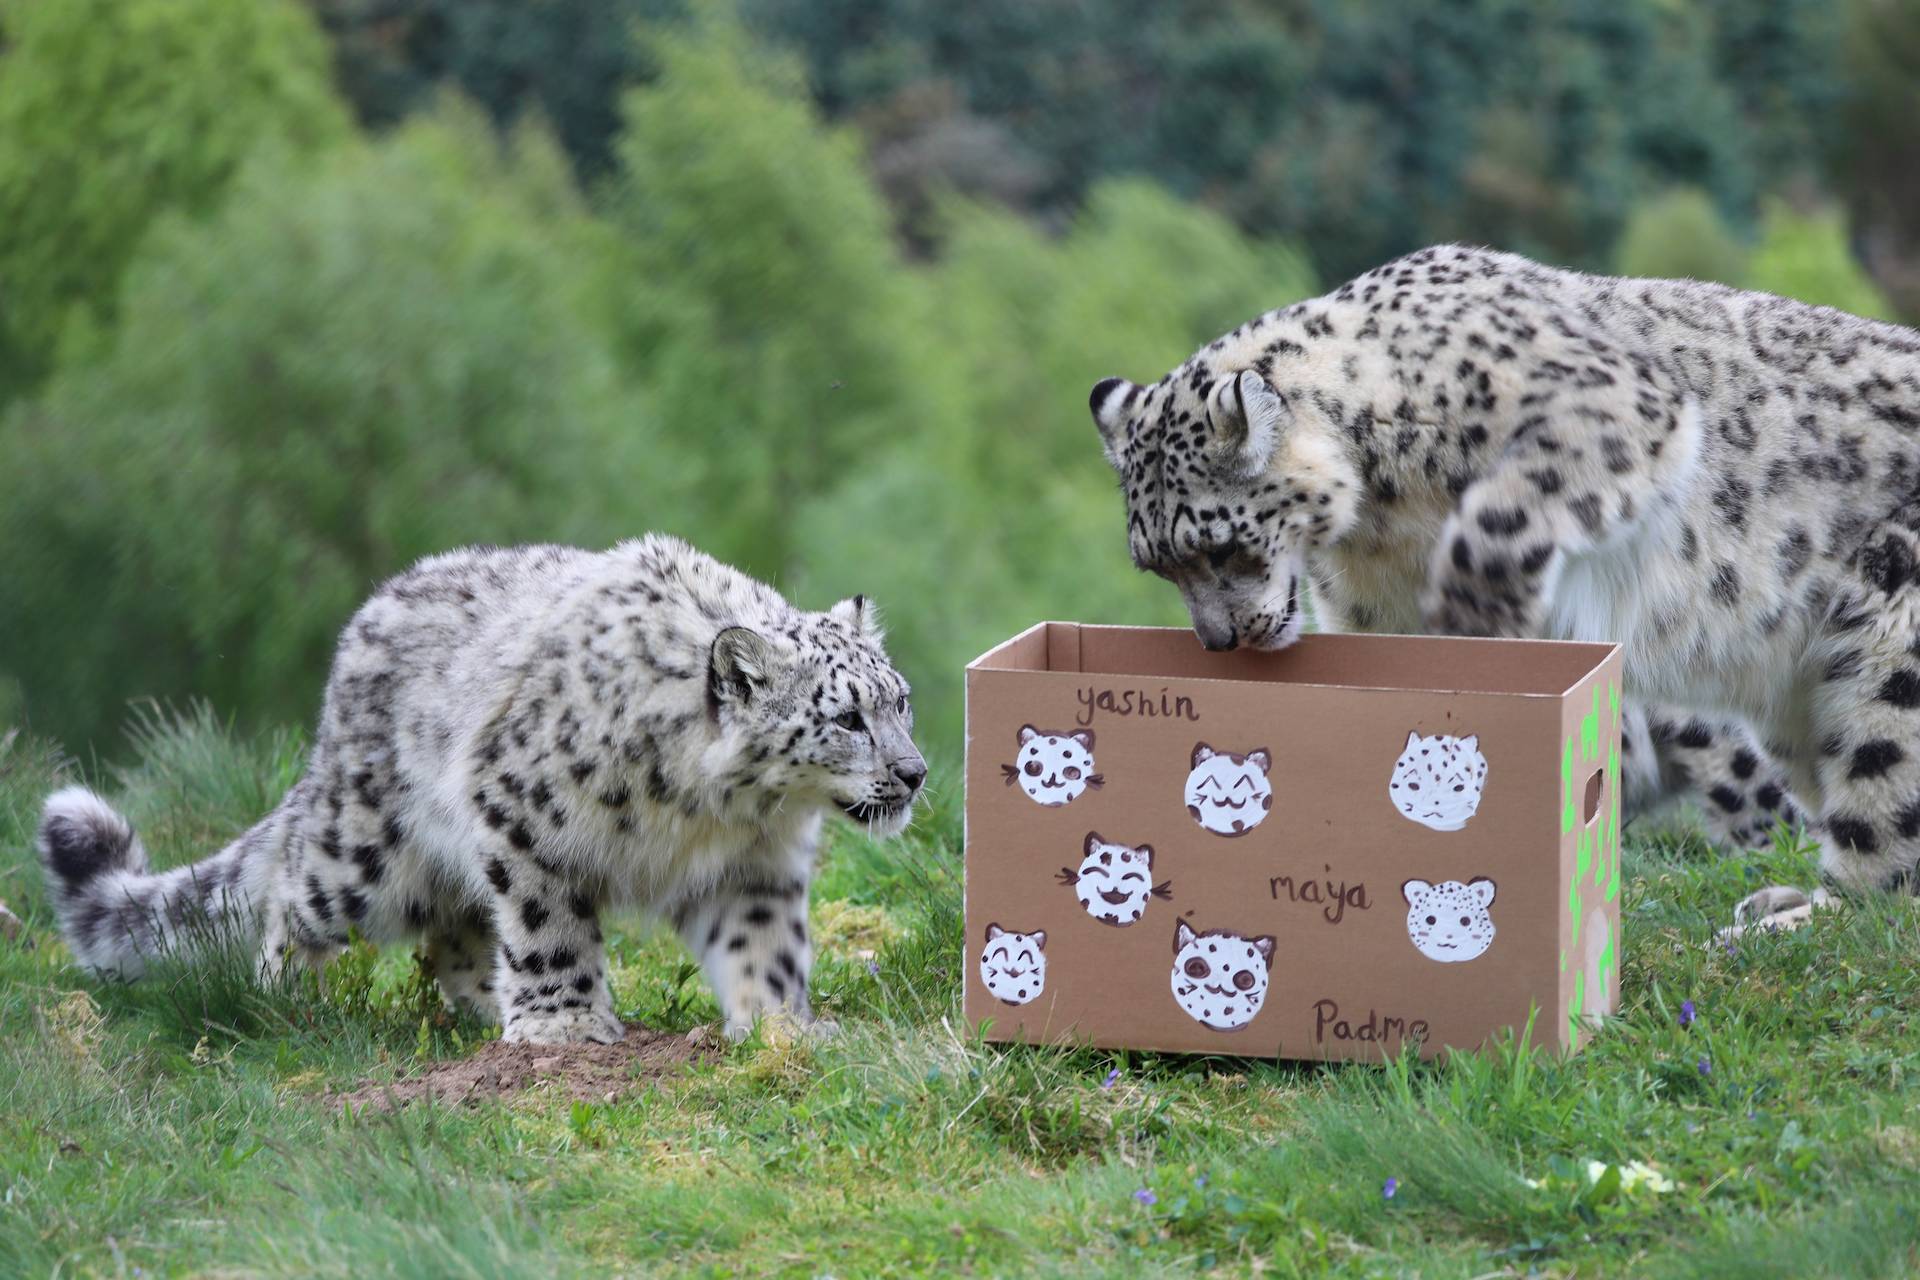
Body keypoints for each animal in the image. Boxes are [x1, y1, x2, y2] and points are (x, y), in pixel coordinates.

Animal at [36, 535, 925, 1044]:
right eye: (847, 716)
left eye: (901, 699)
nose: (915, 772)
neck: (728, 809)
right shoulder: (526, 813)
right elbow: (550, 924)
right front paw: (565, 1027)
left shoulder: (755, 866)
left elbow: (763, 944)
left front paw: (779, 1027)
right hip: (365, 856)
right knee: (292, 889)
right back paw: (288, 996)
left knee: (456, 931)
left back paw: (480, 1005)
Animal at [1089, 243, 1920, 922]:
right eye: (1159, 564)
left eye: (1221, 547)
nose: (1219, 642)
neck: (1383, 526)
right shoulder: (1373, 612)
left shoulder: (1609, 402)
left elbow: (1503, 510)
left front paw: (1482, 617)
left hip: (1892, 646)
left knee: (1883, 856)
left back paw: (1795, 918)